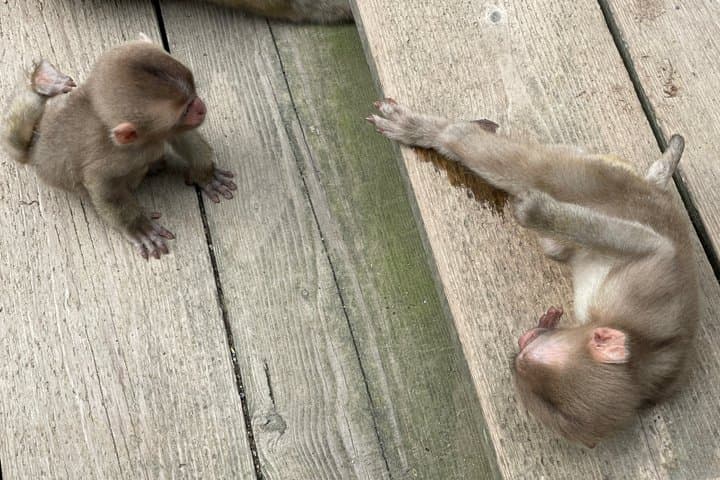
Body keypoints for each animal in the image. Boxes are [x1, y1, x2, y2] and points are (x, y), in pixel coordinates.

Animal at [1, 39, 236, 260]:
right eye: (186, 110)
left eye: (193, 95)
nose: (201, 107)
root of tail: (35, 150)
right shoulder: (115, 157)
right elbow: (101, 185)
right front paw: (138, 227)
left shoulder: (162, 132)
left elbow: (182, 137)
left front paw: (206, 174)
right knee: (12, 139)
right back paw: (42, 82)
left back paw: (44, 81)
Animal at [367, 98, 698, 447]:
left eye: (522, 365)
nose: (524, 340)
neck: (638, 358)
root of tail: (651, 192)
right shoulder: (643, 287)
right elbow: (653, 247)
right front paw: (538, 212)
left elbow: (562, 246)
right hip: (600, 179)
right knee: (533, 169)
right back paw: (434, 131)